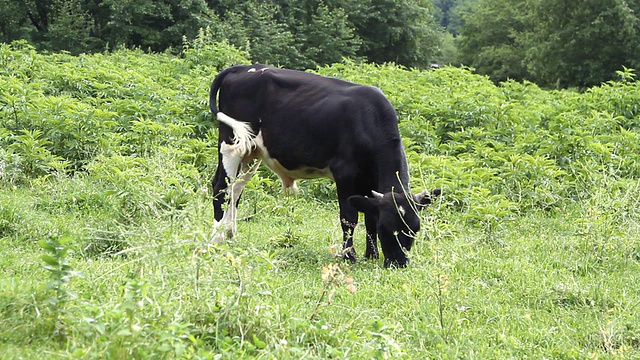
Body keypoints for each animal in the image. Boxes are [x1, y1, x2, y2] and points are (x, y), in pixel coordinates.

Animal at [210, 64, 440, 268]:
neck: (367, 121)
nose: (399, 263)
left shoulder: (369, 181)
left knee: (236, 190)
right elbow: (349, 218)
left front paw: (371, 255)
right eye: (387, 229)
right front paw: (349, 256)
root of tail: (242, 67)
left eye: (414, 228)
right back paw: (217, 238)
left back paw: (230, 234)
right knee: (221, 187)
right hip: (231, 143)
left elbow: (369, 217)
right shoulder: (345, 173)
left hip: (251, 152)